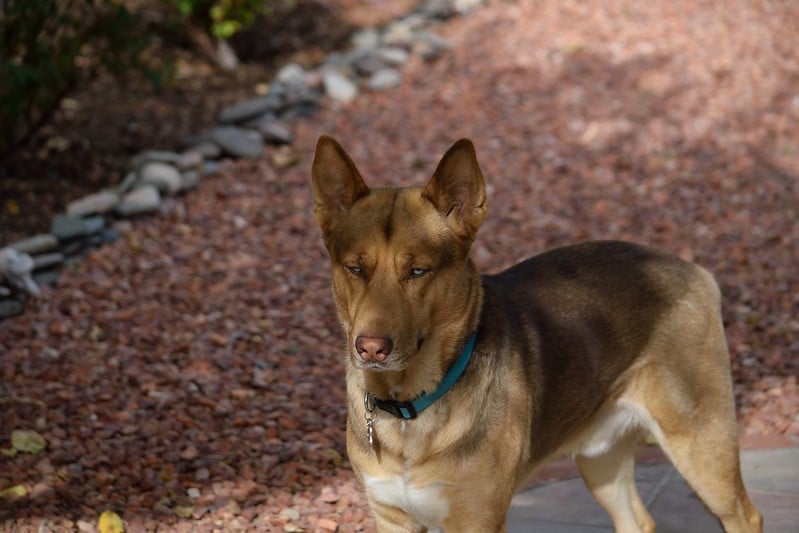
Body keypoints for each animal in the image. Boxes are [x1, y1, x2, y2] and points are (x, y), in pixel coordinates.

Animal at [310, 135, 764, 528]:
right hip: (600, 459)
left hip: (703, 448)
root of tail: (692, 269)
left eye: (418, 271)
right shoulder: (392, 519)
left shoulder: (477, 520)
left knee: (746, 515)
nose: (370, 349)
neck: (409, 408)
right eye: (355, 268)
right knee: (639, 521)